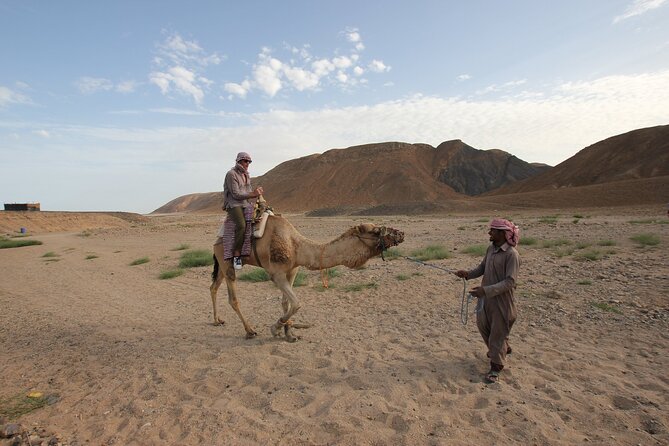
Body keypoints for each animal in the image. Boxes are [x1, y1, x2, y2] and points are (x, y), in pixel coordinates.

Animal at [210, 214, 405, 342]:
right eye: (376, 231)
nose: (401, 234)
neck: (297, 247)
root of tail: (217, 238)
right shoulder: (275, 273)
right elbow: (297, 303)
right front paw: (276, 328)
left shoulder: (292, 270)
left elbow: (286, 303)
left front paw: (289, 333)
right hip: (226, 261)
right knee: (233, 298)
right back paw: (250, 331)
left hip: (221, 262)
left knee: (214, 286)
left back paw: (217, 321)